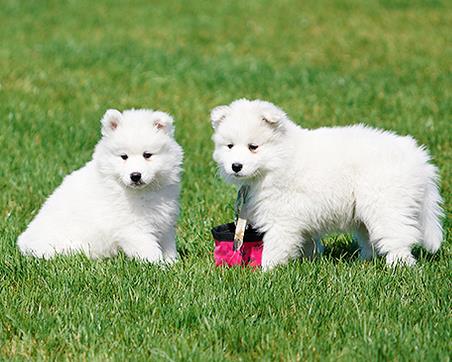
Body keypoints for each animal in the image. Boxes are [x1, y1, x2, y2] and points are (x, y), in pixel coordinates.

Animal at [17, 107, 184, 264]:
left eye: (147, 155)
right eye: (124, 156)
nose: (135, 175)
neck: (144, 192)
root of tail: (24, 243)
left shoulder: (165, 221)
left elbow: (168, 245)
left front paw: (172, 263)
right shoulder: (132, 227)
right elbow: (149, 250)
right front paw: (160, 266)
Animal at [211, 98, 442, 268]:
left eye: (253, 147)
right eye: (229, 146)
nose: (236, 166)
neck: (279, 159)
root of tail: (420, 159)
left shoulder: (283, 217)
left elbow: (276, 244)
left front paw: (267, 270)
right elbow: (307, 241)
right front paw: (308, 260)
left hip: (387, 204)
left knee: (399, 236)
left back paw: (398, 264)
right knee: (370, 238)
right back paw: (363, 260)